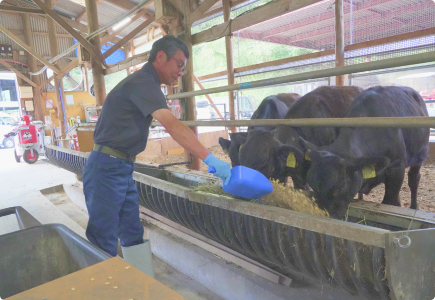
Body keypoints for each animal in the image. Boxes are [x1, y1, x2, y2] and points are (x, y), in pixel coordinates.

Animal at [300, 85, 430, 219]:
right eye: (312, 185)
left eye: (340, 188)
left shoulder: (397, 168)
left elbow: (390, 201)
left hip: (420, 154)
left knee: (414, 179)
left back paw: (414, 206)